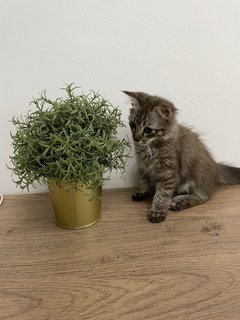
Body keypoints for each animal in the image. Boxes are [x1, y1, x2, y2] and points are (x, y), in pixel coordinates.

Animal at [123, 91, 240, 224]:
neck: (149, 147)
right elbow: (144, 181)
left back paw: (178, 202)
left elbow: (162, 194)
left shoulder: (168, 172)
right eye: (133, 124)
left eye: (148, 130)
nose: (136, 138)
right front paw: (142, 192)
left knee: (203, 197)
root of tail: (215, 166)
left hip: (197, 176)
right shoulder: (143, 166)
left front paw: (157, 211)